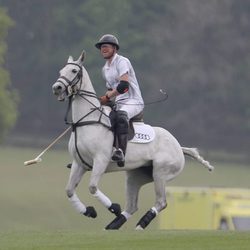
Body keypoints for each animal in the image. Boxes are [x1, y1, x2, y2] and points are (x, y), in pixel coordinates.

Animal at [52, 51, 213, 230]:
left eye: (74, 71)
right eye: (61, 71)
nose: (57, 88)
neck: (86, 121)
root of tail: (178, 146)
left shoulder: (100, 160)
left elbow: (92, 187)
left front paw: (113, 207)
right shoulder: (79, 163)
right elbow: (69, 190)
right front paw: (89, 211)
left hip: (161, 173)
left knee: (161, 202)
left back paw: (140, 224)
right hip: (136, 176)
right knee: (132, 206)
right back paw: (114, 225)